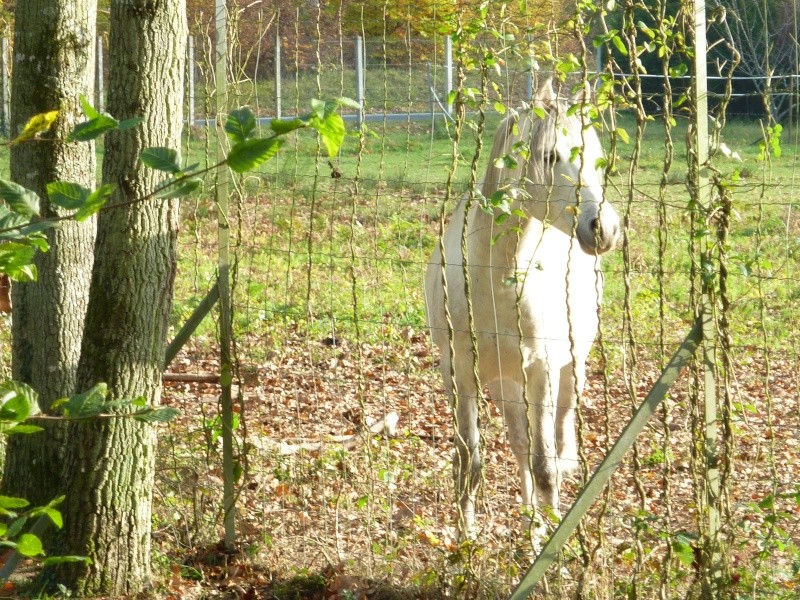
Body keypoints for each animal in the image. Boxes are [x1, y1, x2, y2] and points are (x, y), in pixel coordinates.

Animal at [424, 78, 620, 540]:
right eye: (549, 156)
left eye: (597, 157)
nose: (604, 229)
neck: (491, 276)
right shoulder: (460, 373)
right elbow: (469, 464)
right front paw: (466, 541)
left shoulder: (543, 370)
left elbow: (546, 465)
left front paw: (550, 544)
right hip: (506, 383)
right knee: (519, 443)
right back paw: (530, 521)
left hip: (569, 371)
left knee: (556, 443)